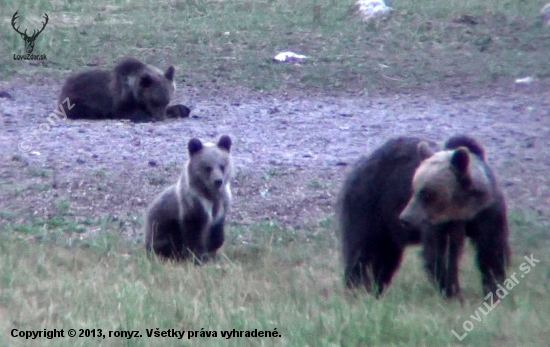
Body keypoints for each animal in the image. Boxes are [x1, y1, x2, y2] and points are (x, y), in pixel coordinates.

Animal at [56, 57, 190, 122]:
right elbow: (124, 112)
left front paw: (182, 109)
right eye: (153, 101)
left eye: (166, 101)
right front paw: (145, 116)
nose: (160, 117)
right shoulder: (118, 101)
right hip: (77, 100)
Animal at [340, 136, 512, 300]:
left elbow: (491, 250)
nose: (405, 218)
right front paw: (453, 293)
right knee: (362, 250)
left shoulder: (487, 212)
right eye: (413, 189)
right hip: (370, 205)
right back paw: (356, 289)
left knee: (386, 257)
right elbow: (440, 254)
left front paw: (494, 289)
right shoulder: (439, 223)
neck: (464, 209)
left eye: (426, 193)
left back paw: (375, 289)